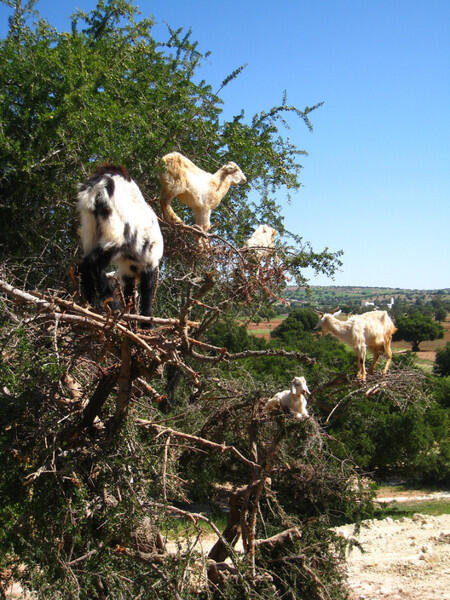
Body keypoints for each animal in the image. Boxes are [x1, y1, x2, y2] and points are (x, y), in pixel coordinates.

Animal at [77, 163, 163, 324]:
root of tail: (101, 182)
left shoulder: (128, 273)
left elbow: (130, 295)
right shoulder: (148, 265)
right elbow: (147, 295)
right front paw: (145, 324)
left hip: (90, 229)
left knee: (84, 264)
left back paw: (93, 306)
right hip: (116, 235)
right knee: (93, 264)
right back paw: (113, 308)